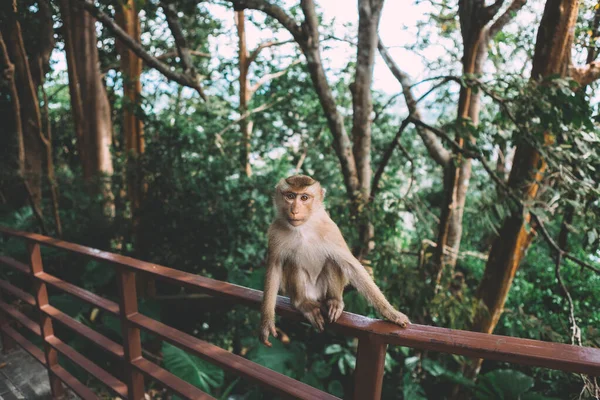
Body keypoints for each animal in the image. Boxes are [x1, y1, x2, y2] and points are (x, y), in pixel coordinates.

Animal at [258, 173, 408, 346]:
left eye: (304, 197)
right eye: (290, 196)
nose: (295, 210)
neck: (303, 228)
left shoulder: (330, 229)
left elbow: (351, 266)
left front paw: (391, 313)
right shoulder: (275, 231)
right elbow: (274, 268)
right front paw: (266, 323)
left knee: (332, 261)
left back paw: (334, 301)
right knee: (293, 263)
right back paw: (302, 303)